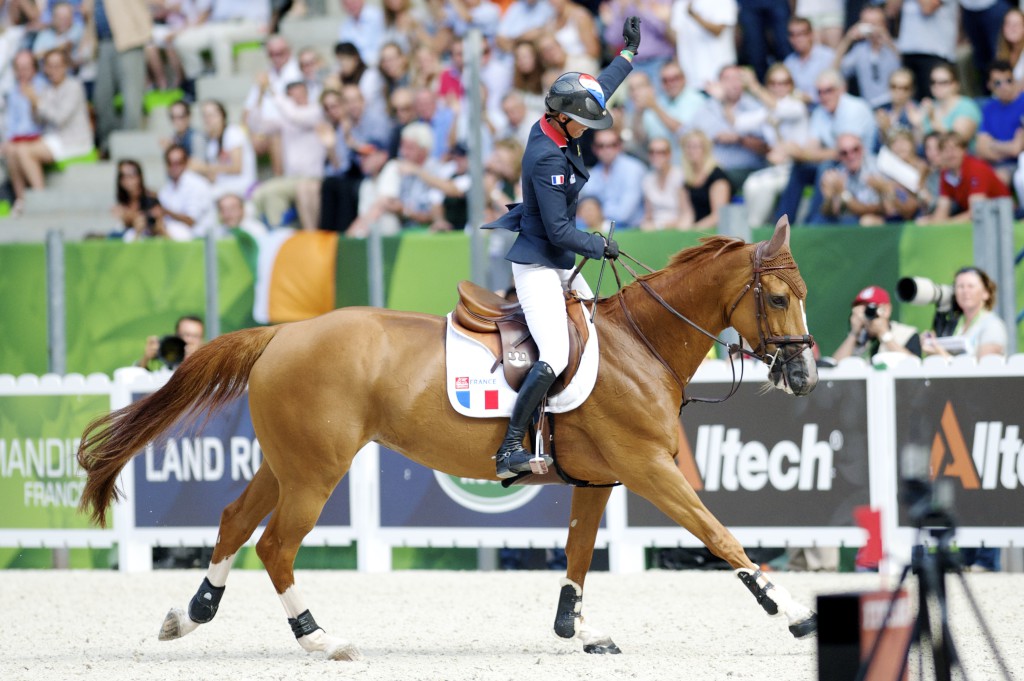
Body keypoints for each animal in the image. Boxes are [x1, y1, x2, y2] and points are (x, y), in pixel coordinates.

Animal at [77, 216, 815, 659]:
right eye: (779, 299)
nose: (804, 375)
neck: (642, 343)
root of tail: (283, 332)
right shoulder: (648, 468)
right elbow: (719, 534)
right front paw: (788, 610)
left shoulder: (601, 478)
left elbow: (578, 555)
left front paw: (577, 629)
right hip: (316, 470)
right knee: (276, 544)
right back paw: (320, 638)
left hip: (287, 463)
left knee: (235, 520)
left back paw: (192, 613)